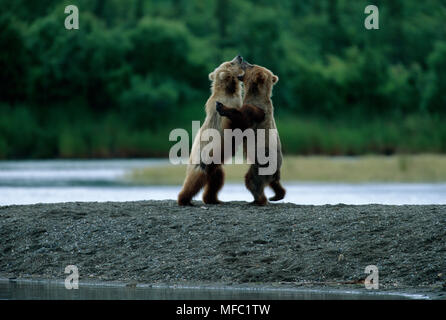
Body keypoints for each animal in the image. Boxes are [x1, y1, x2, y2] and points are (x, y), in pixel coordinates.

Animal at [177, 55, 244, 206]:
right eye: (231, 63)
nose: (239, 56)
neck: (229, 90)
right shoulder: (224, 109)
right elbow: (233, 121)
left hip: (215, 168)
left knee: (216, 182)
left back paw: (214, 199)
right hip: (201, 164)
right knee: (193, 182)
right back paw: (184, 200)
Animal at [240, 61, 286, 206]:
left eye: (251, 65)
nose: (243, 59)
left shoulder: (254, 110)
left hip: (261, 164)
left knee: (252, 181)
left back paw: (259, 199)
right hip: (272, 171)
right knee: (275, 184)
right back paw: (276, 196)